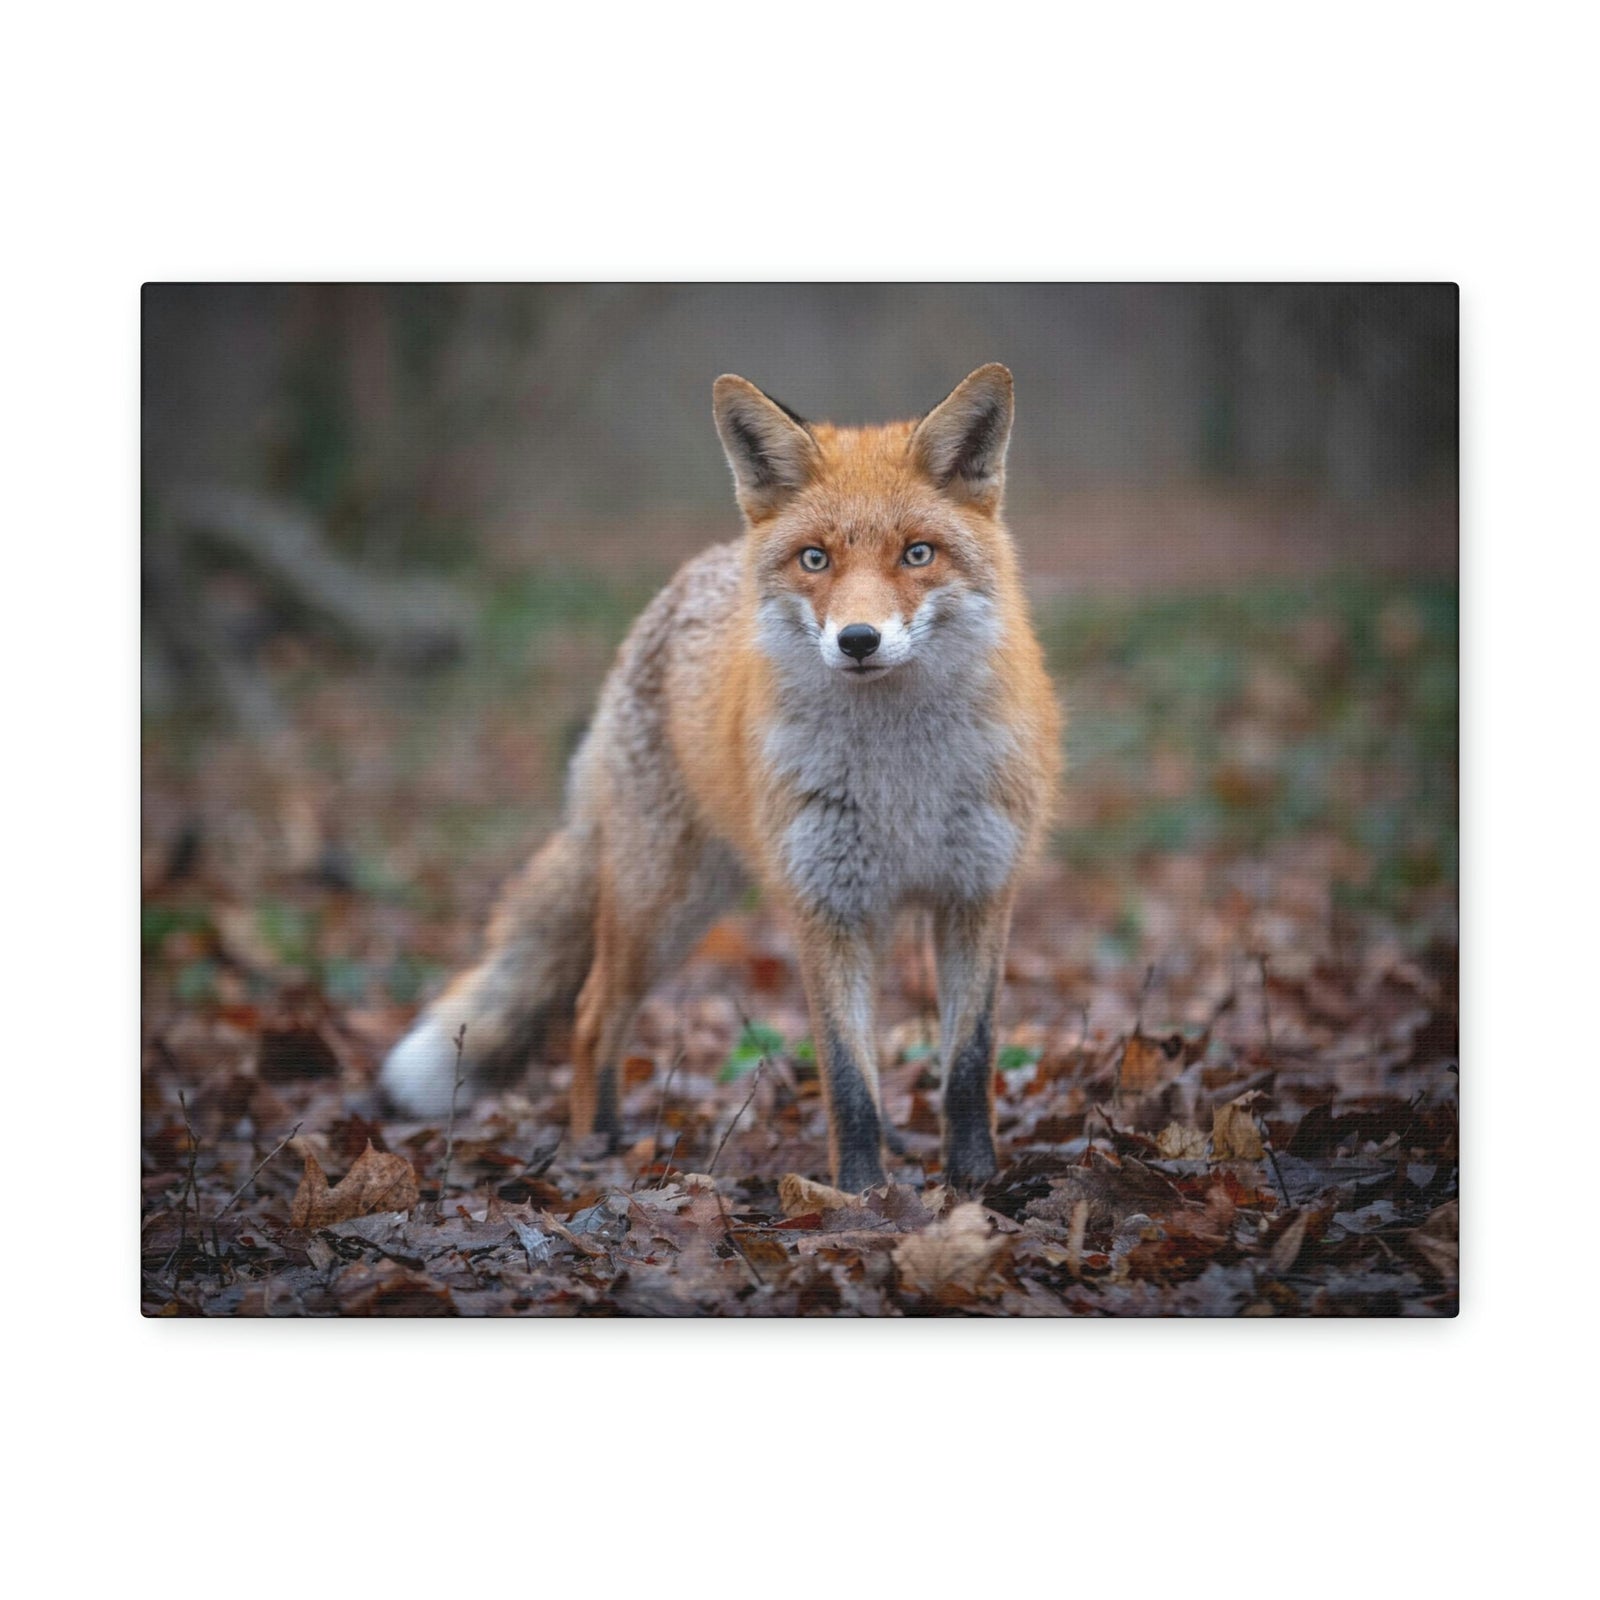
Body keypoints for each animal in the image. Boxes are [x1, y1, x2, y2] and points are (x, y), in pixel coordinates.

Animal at [380, 364, 1062, 1191]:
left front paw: (975, 1185)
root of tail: (689, 574)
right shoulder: (823, 905)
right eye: (815, 559)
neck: (900, 778)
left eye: (918, 554)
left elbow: (967, 1064)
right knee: (591, 1014)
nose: (857, 640)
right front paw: (861, 1195)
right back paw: (596, 1147)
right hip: (663, 906)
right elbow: (846, 1079)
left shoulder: (977, 894)